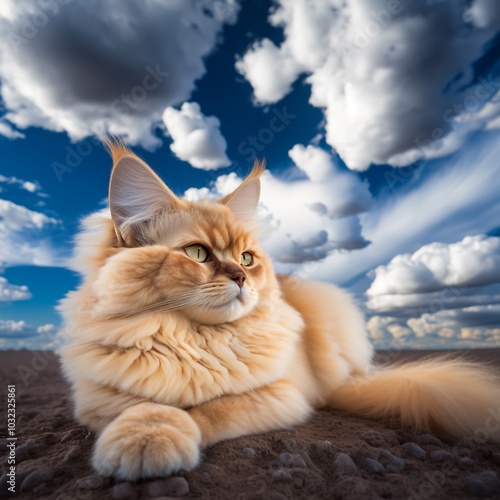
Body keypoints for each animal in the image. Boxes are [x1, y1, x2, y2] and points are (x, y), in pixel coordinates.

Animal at [59, 141, 500, 480]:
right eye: (198, 253)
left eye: (247, 258)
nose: (241, 278)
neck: (196, 340)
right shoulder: (99, 398)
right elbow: (145, 405)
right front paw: (143, 431)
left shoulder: (280, 394)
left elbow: (208, 409)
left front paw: (153, 436)